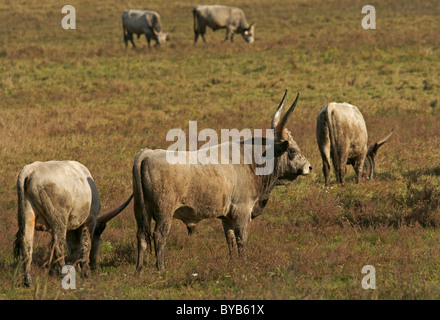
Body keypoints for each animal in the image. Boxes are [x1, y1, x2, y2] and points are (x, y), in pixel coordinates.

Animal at [132, 90, 312, 272]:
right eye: (292, 150)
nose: (309, 167)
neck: (253, 160)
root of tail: (148, 153)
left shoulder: (227, 218)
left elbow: (230, 240)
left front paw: (233, 264)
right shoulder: (242, 211)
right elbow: (241, 240)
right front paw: (244, 264)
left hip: (141, 209)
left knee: (141, 235)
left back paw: (139, 270)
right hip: (164, 211)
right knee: (159, 236)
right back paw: (161, 269)